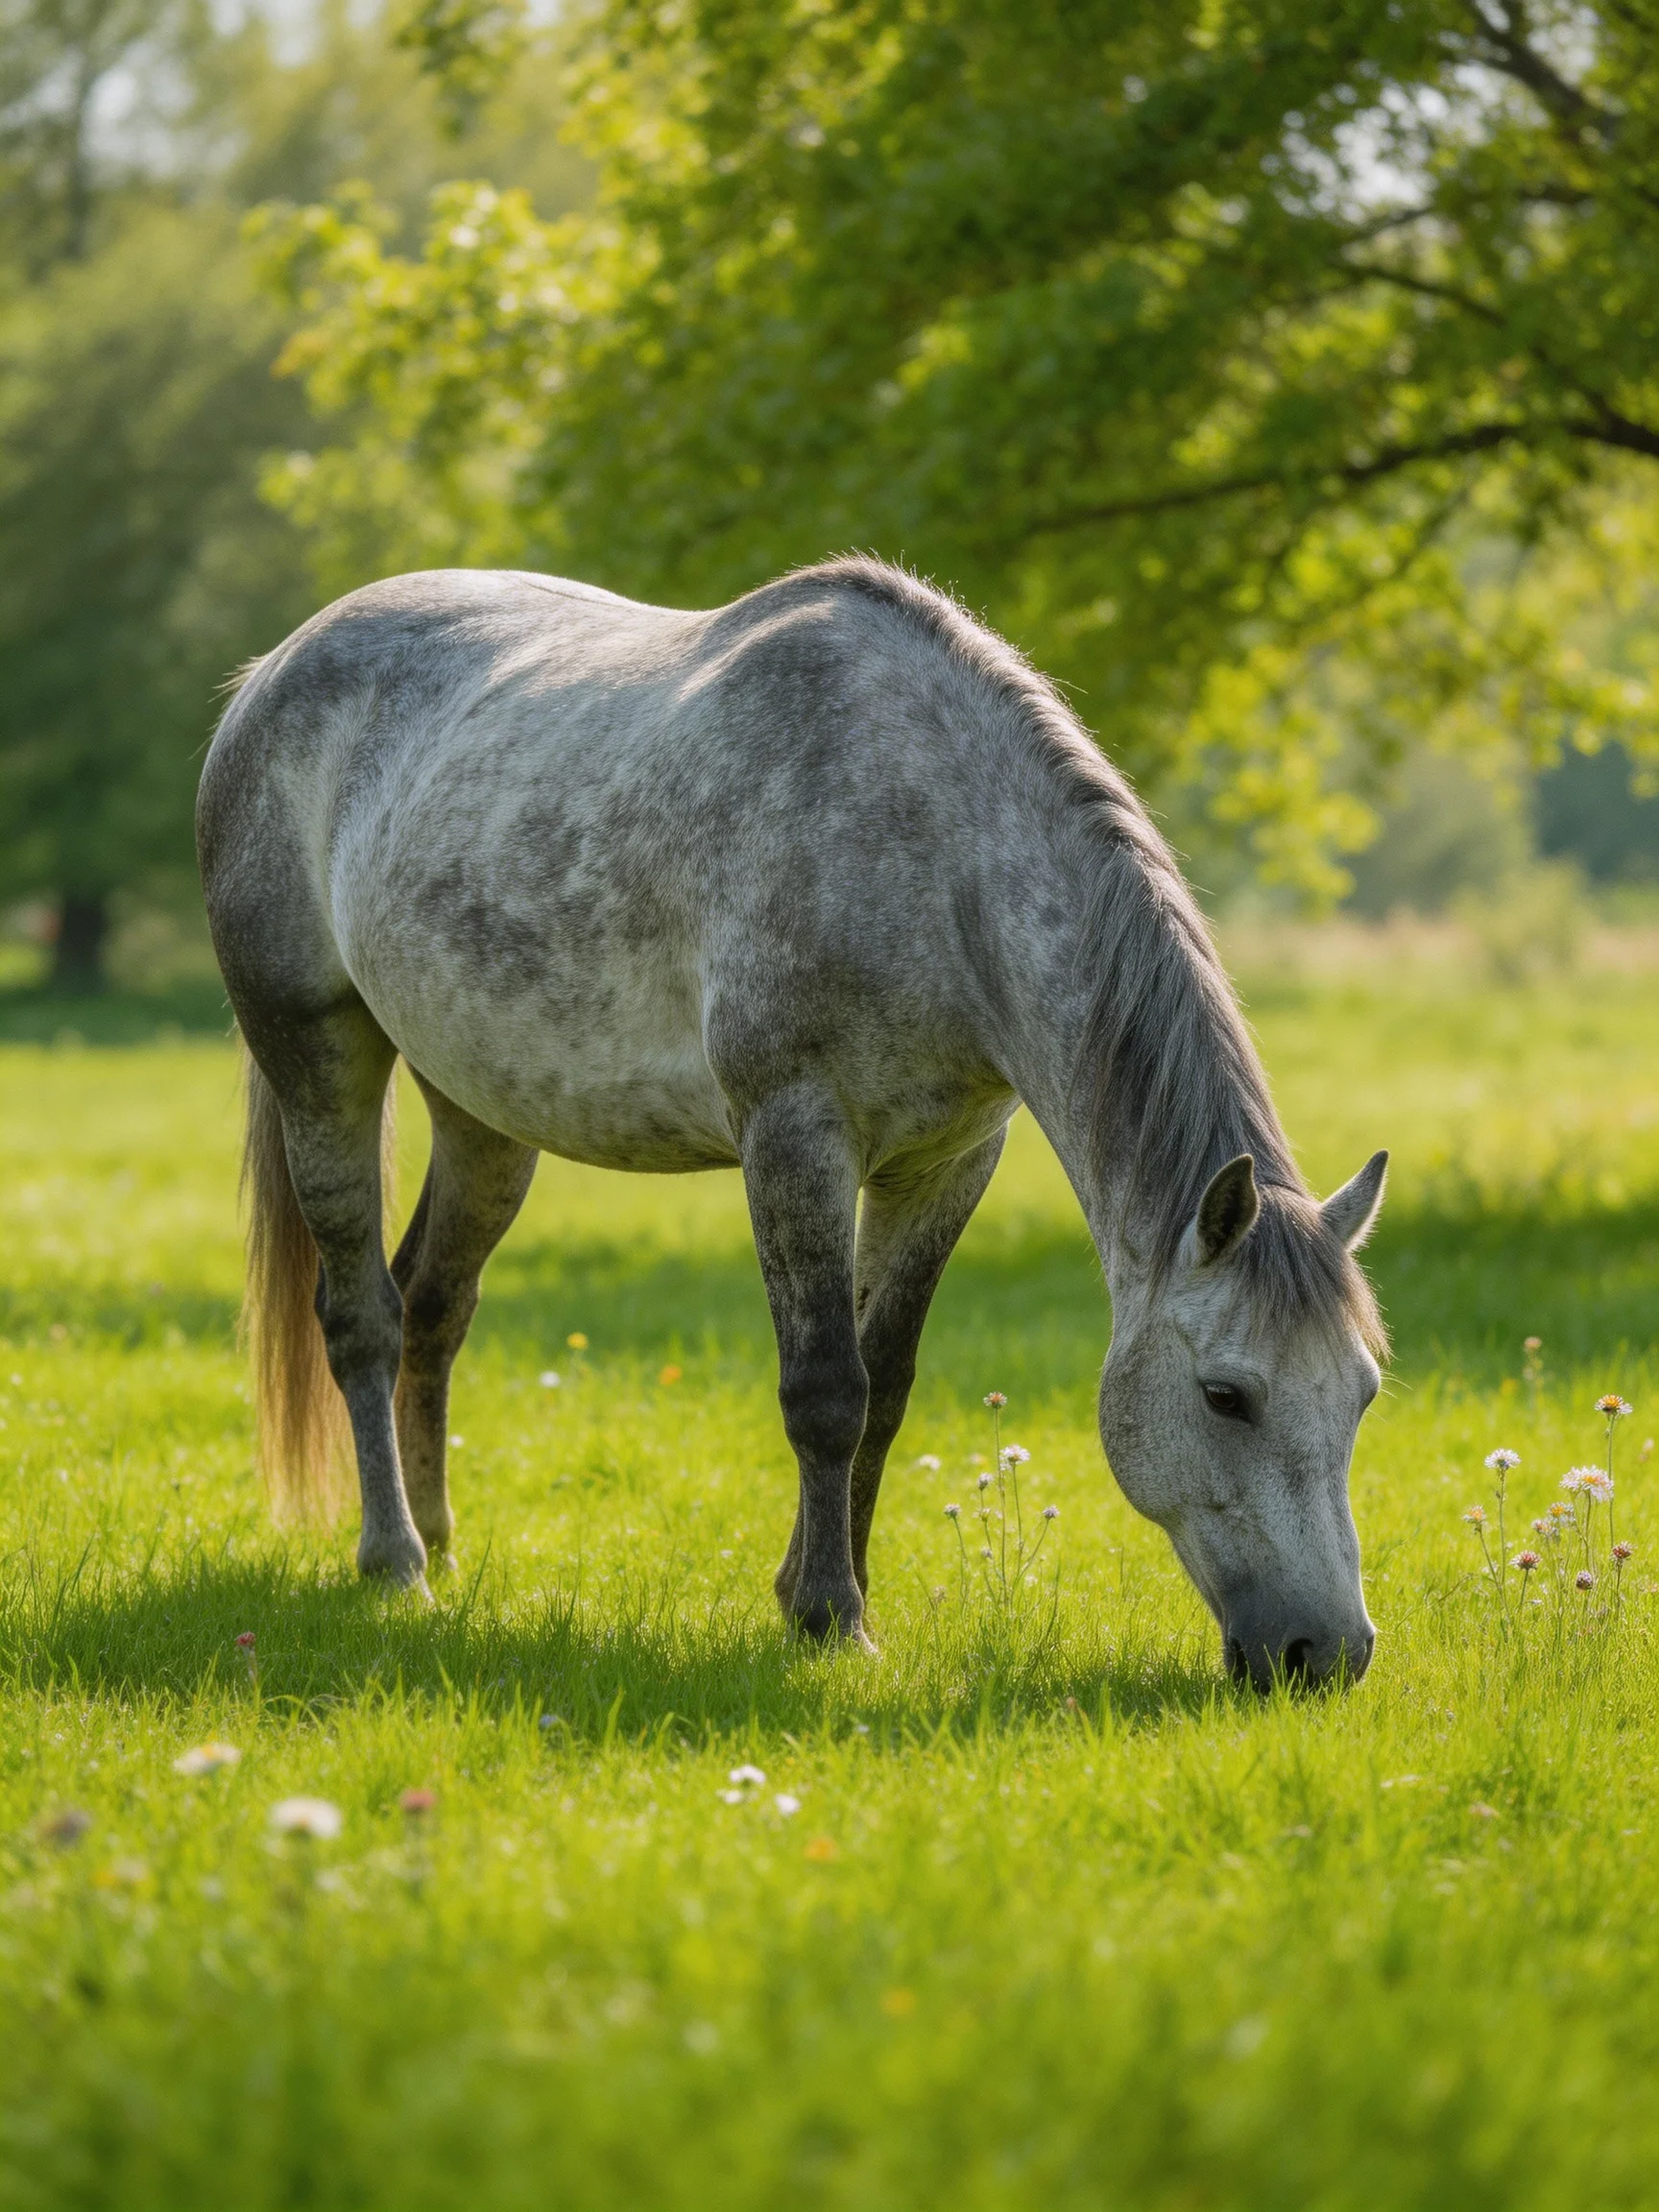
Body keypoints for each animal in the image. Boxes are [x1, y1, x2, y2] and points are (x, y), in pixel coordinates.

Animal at [197, 556, 1389, 1688]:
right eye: (1226, 1396)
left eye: (1363, 1394)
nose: (1325, 1655)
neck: (930, 846)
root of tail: (267, 676)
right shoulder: (795, 1135)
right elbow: (825, 1390)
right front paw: (828, 1620)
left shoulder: (946, 1162)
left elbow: (885, 1389)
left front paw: (830, 1589)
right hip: (318, 1058)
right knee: (363, 1315)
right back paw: (393, 1562)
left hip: (484, 1118)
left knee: (435, 1310)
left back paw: (441, 1543)